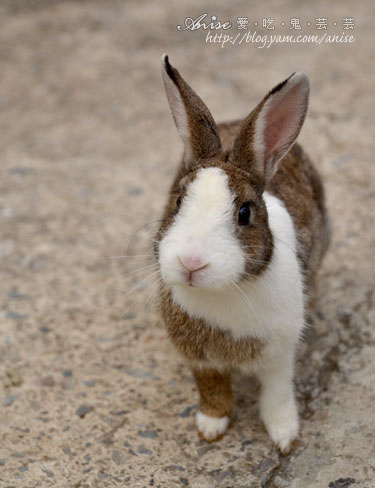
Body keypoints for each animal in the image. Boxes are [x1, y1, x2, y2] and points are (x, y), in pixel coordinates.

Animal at [155, 54, 328, 454]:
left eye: (245, 213)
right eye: (178, 201)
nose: (191, 262)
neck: (222, 291)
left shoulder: (280, 353)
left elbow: (277, 393)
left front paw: (284, 436)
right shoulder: (199, 360)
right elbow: (211, 389)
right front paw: (211, 426)